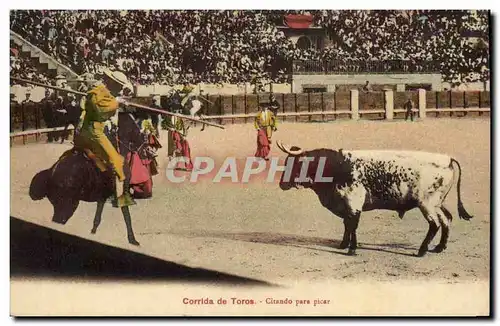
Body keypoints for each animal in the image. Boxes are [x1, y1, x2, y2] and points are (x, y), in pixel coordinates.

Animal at [28, 111, 150, 244]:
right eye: (137, 129)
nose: (146, 149)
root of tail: (51, 172)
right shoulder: (122, 191)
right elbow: (126, 214)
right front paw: (132, 239)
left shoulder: (102, 194)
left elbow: (98, 214)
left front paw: (93, 231)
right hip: (67, 205)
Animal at [274, 141, 472, 258]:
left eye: (294, 163)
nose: (282, 184)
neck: (337, 166)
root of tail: (447, 159)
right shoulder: (346, 205)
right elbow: (347, 225)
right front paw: (343, 245)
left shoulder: (353, 203)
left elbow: (352, 225)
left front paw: (352, 249)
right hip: (437, 204)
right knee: (446, 220)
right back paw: (439, 247)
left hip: (427, 203)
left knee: (434, 224)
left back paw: (422, 251)